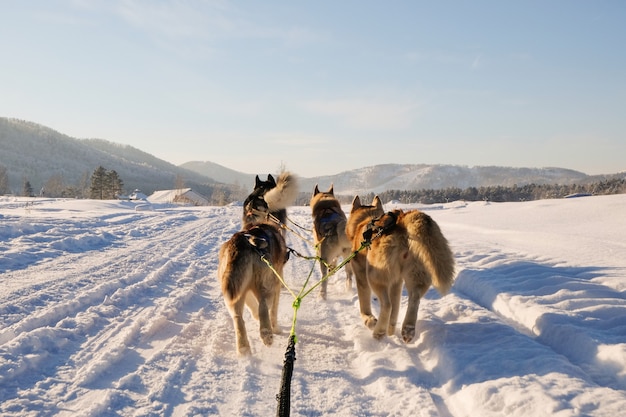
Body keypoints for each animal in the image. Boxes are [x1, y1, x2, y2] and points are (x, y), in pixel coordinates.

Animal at [218, 188, 292, 354]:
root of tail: (245, 241)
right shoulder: (277, 283)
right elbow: (273, 311)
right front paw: (276, 329)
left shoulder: (243, 288)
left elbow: (251, 305)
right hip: (266, 283)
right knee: (264, 305)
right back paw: (267, 334)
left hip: (233, 290)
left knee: (238, 317)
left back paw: (243, 348)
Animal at [342, 195, 454, 342]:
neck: (364, 221)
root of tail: (403, 219)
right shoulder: (397, 282)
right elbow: (394, 312)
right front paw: (391, 331)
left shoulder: (361, 276)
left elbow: (365, 306)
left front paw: (370, 320)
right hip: (416, 274)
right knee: (414, 298)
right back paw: (408, 329)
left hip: (374, 277)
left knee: (387, 304)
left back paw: (379, 332)